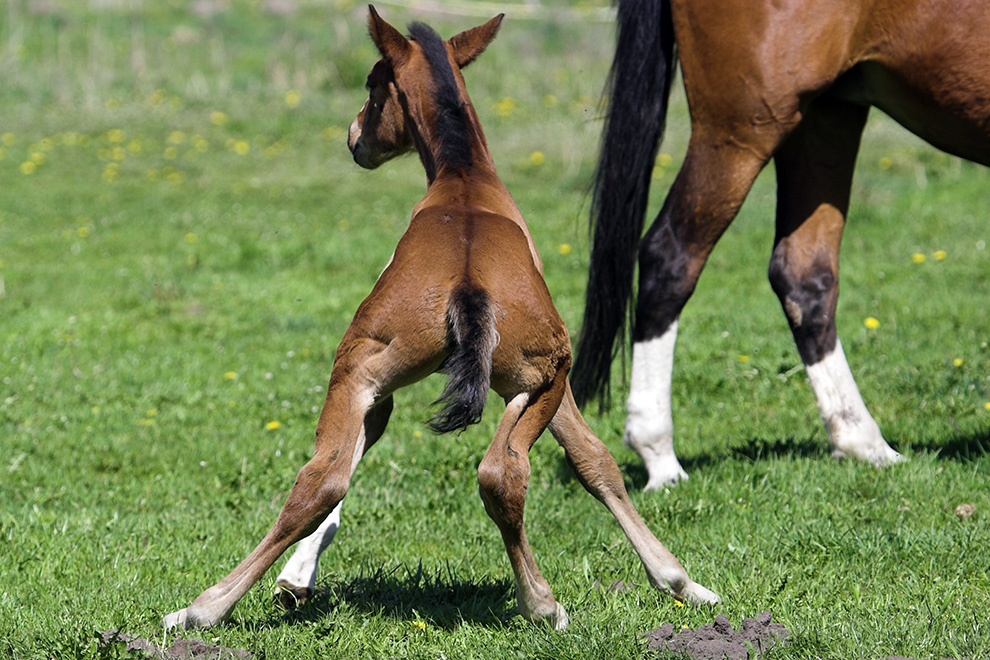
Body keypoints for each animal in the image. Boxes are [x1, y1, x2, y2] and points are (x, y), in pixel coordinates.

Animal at [163, 7, 720, 632]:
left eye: (371, 87)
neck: (464, 179)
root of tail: (467, 282)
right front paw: (680, 579)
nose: (354, 139)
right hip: (528, 372)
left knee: (330, 478)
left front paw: (684, 582)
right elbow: (594, 460)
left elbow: (591, 460)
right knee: (490, 473)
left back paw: (204, 607)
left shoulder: (390, 389)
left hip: (384, 371)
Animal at [572, 0, 990, 490]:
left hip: (824, 115)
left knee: (804, 277)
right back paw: (660, 457)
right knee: (670, 257)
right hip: (743, 128)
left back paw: (864, 444)